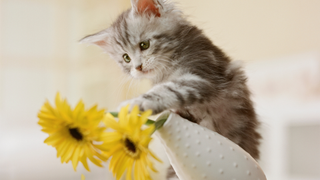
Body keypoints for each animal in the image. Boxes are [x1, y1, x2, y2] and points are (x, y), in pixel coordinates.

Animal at [81, 0, 262, 179]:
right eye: (126, 58)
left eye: (144, 45)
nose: (138, 67)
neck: (167, 67)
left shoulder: (202, 77)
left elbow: (167, 91)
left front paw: (134, 105)